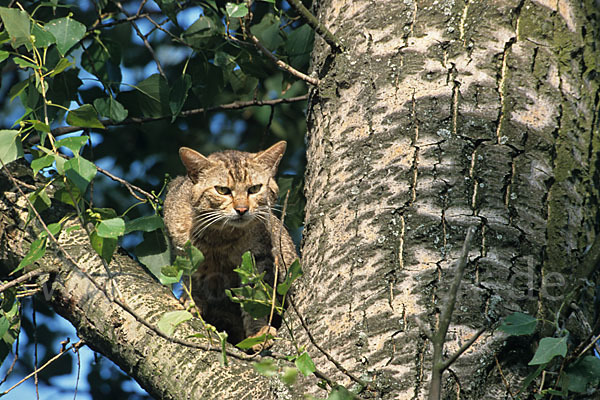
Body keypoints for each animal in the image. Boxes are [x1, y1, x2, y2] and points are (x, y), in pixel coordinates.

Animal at [163, 141, 296, 350]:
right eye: (222, 190)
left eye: (255, 188)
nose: (242, 209)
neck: (220, 236)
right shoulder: (180, 247)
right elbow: (189, 276)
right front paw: (193, 299)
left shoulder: (258, 258)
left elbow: (254, 298)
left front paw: (258, 333)